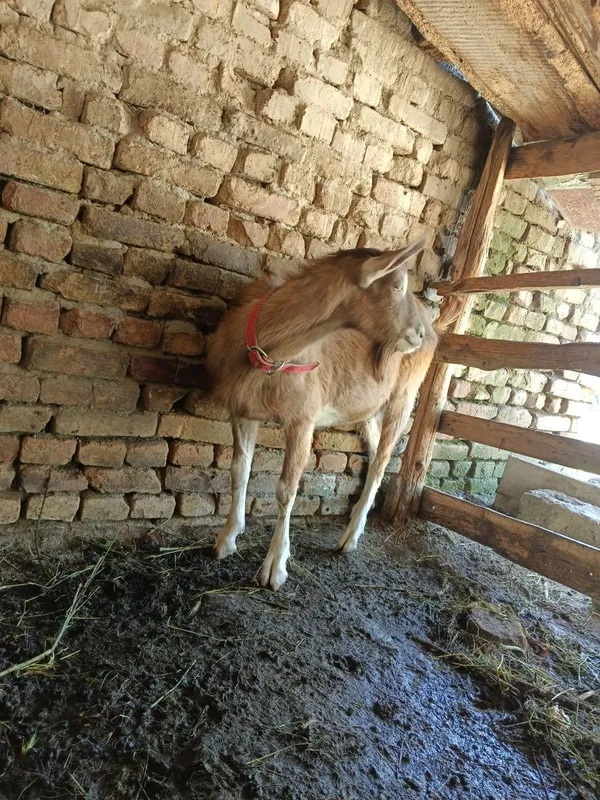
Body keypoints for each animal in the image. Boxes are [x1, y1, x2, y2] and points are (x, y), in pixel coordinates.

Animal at [206, 237, 459, 590]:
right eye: (397, 285)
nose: (417, 334)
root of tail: (435, 326)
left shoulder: (302, 419)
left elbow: (286, 489)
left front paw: (275, 568)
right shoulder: (242, 411)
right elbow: (238, 472)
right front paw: (227, 539)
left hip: (404, 397)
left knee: (382, 462)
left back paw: (349, 538)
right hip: (370, 408)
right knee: (375, 450)